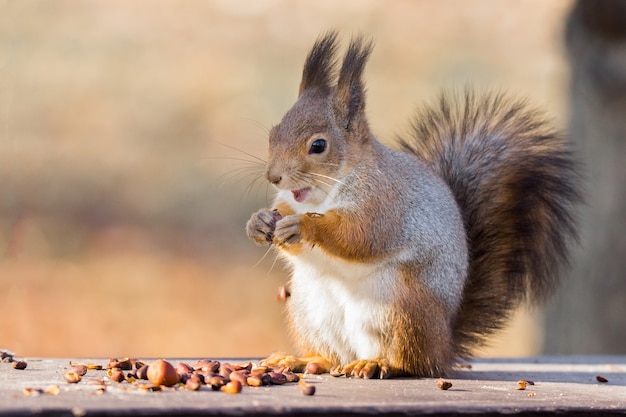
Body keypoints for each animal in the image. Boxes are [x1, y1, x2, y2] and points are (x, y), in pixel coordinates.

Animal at [244, 31, 580, 376]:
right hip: (310, 309)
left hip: (403, 308)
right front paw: (259, 222)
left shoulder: (384, 202)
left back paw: (379, 363)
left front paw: (305, 225)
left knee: (411, 361)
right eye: (273, 134)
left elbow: (359, 236)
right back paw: (300, 359)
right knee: (331, 356)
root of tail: (444, 344)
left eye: (318, 146)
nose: (274, 176)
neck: (324, 194)